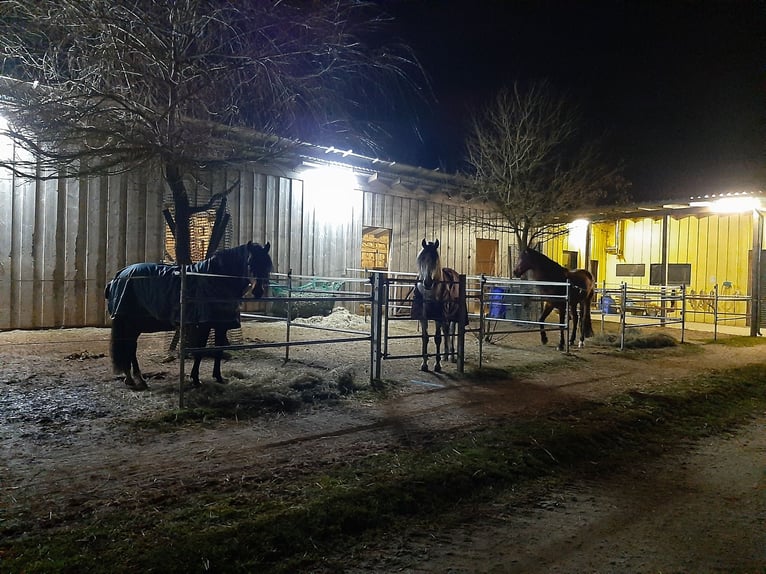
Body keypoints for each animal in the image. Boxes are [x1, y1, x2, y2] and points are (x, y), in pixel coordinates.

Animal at [105, 243, 272, 392]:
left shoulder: (220, 325)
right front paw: (196, 379)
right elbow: (200, 350)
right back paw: (138, 379)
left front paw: (218, 377)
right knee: (130, 348)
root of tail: (121, 274)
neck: (216, 278)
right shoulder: (204, 325)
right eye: (249, 262)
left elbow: (218, 350)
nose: (258, 291)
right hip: (130, 324)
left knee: (129, 348)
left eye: (267, 265)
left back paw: (131, 379)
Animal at [414, 238, 468, 374]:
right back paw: (446, 355)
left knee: (451, 332)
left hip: (453, 316)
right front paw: (424, 364)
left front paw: (437, 365)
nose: (427, 282)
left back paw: (452, 356)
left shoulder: (439, 316)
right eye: (422, 259)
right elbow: (425, 337)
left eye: (435, 260)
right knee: (446, 331)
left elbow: (437, 338)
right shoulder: (423, 317)